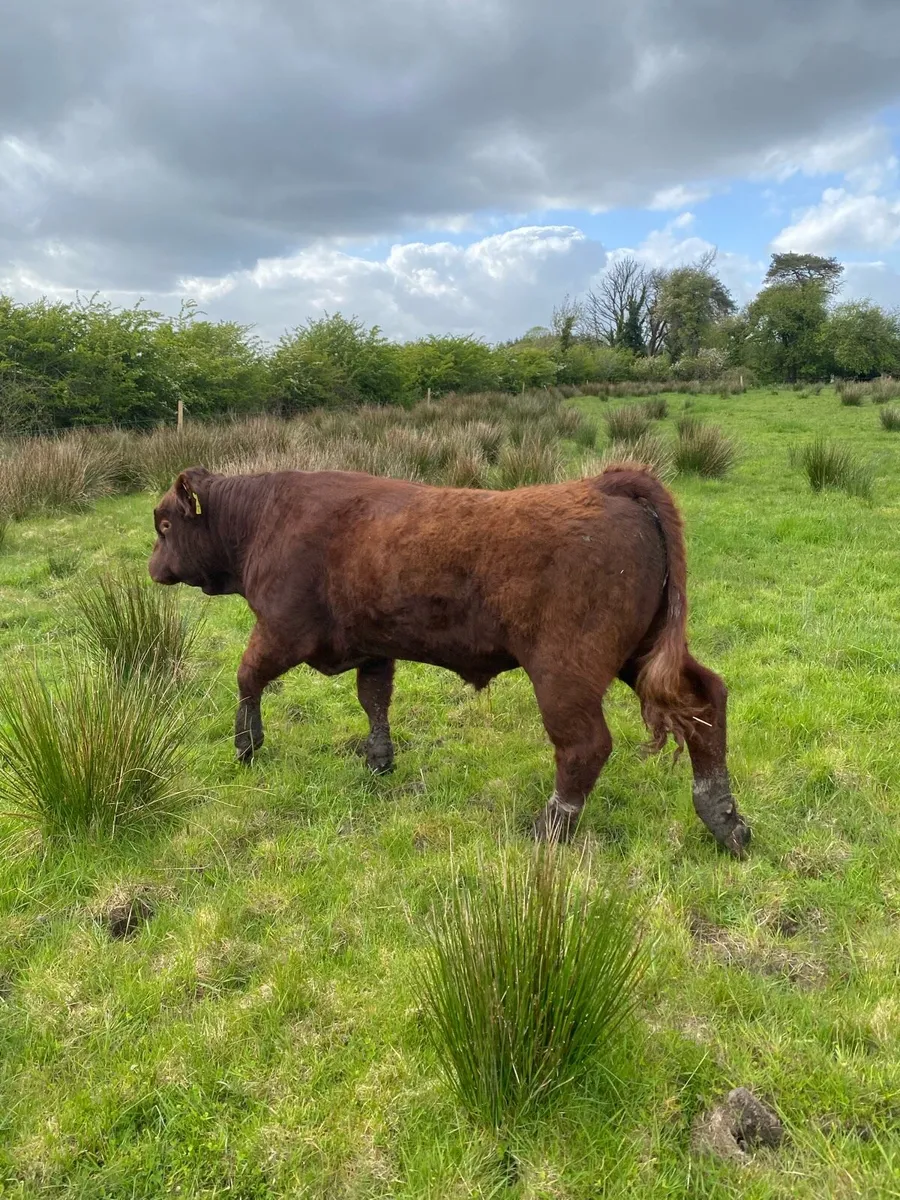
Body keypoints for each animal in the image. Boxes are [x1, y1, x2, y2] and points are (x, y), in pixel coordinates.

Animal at [148, 463, 750, 856]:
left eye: (165, 524)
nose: (153, 568)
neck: (264, 516)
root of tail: (604, 486)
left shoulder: (279, 632)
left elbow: (247, 676)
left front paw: (246, 745)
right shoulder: (374, 650)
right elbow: (374, 702)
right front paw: (379, 760)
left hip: (564, 675)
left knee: (585, 746)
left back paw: (548, 830)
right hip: (643, 657)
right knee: (705, 704)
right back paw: (725, 821)